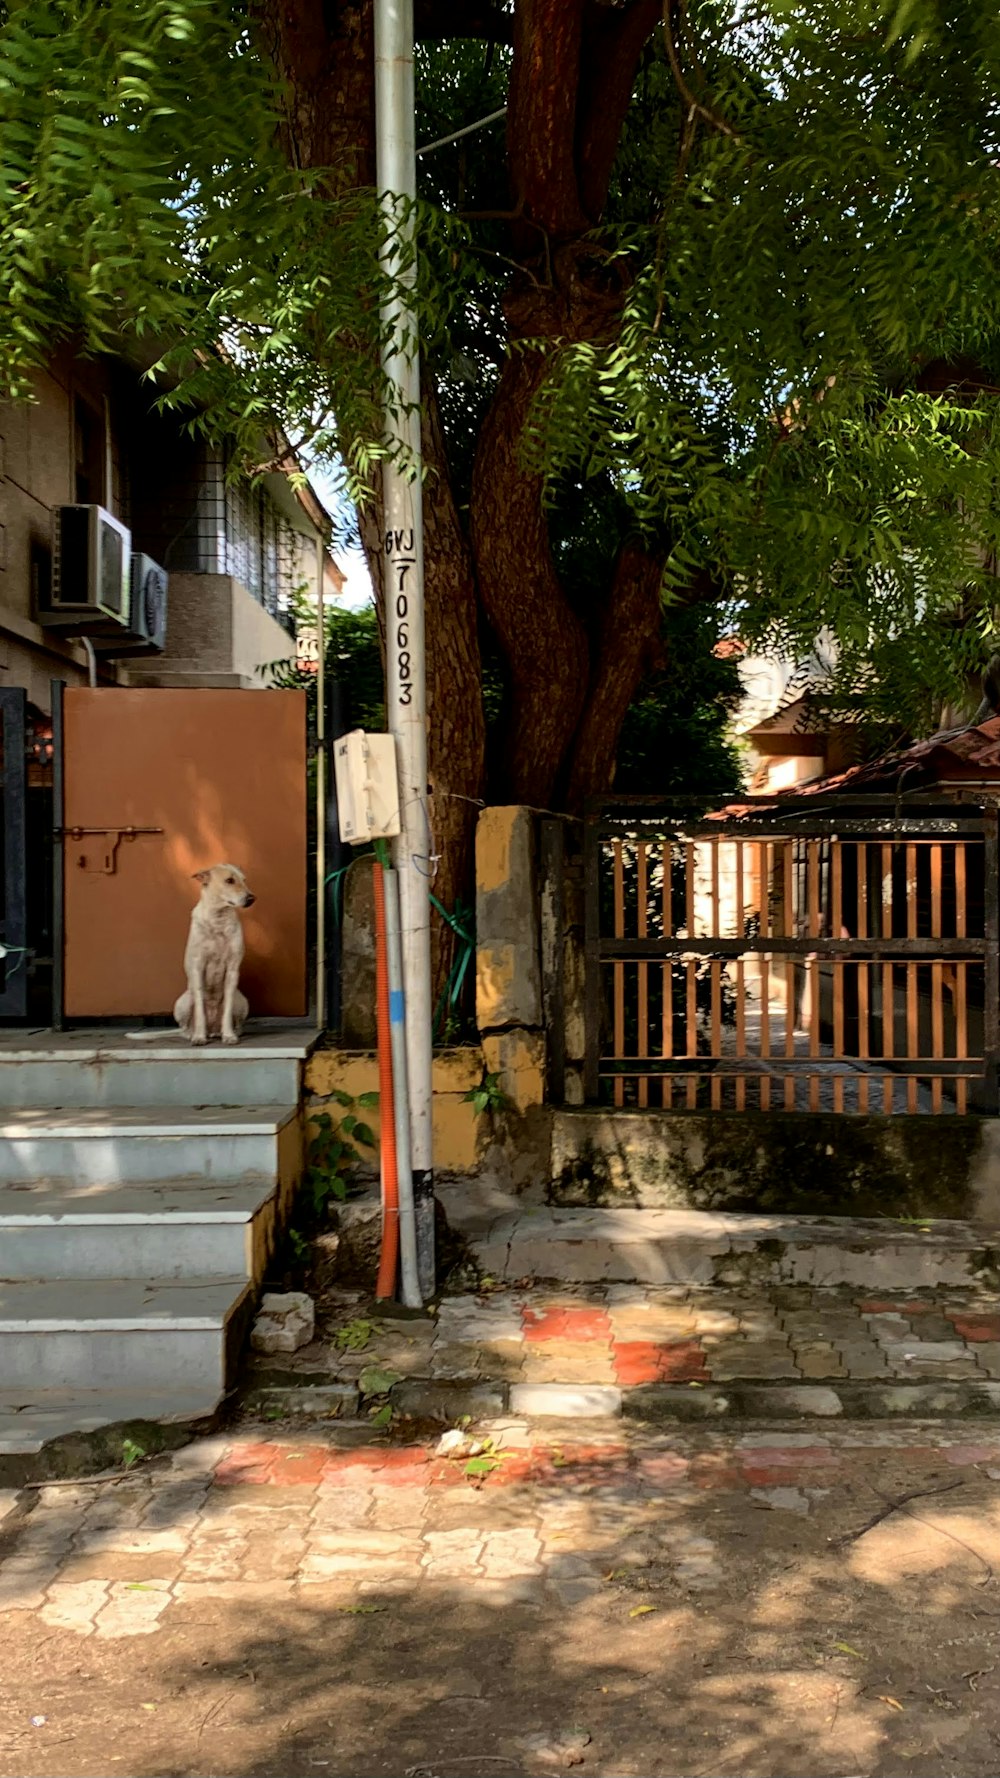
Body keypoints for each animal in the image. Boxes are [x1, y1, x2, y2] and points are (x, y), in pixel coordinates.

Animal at [173, 860, 254, 1038]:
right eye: (229, 880)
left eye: (244, 880)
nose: (252, 898)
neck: (218, 919)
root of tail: (213, 1030)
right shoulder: (197, 968)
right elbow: (200, 1010)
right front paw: (199, 1037)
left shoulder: (232, 970)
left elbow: (227, 1010)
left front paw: (229, 1036)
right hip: (183, 1002)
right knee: (184, 1026)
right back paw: (193, 1034)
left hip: (242, 1001)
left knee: (237, 1021)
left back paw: (230, 1032)